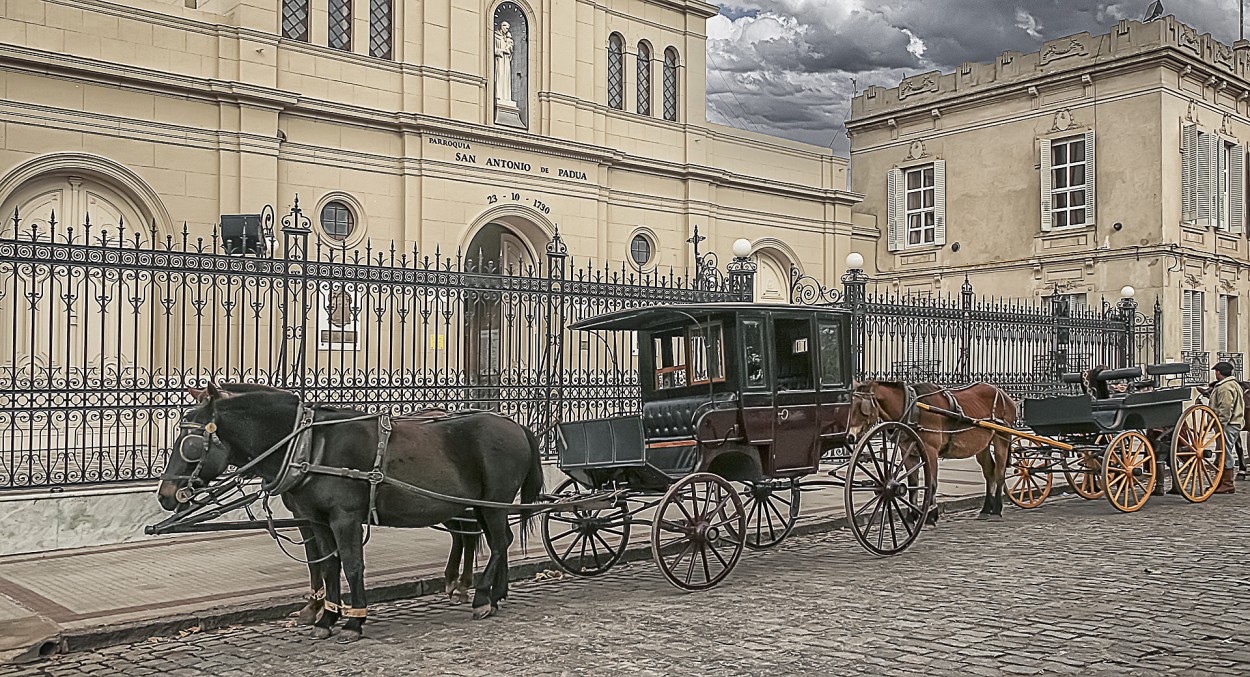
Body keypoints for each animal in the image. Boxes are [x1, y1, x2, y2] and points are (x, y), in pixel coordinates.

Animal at [160, 384, 542, 644]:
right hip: (478, 504)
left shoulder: (344, 518)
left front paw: (354, 620)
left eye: (190, 443)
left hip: (494, 500)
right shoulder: (315, 519)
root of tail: (514, 424)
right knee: (491, 539)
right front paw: (325, 617)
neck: (310, 445)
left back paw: (480, 597)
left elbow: (352, 563)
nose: (165, 495)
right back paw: (493, 593)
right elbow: (327, 565)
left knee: (498, 542)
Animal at [845, 382, 1020, 519]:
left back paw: (996, 509)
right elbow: (913, 483)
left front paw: (931, 514)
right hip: (982, 445)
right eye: (849, 407)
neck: (914, 408)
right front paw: (912, 516)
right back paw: (986, 509)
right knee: (989, 472)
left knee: (999, 472)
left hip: (1002, 439)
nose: (850, 437)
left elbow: (933, 483)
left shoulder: (930, 451)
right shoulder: (908, 453)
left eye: (862, 408)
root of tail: (1006, 396)